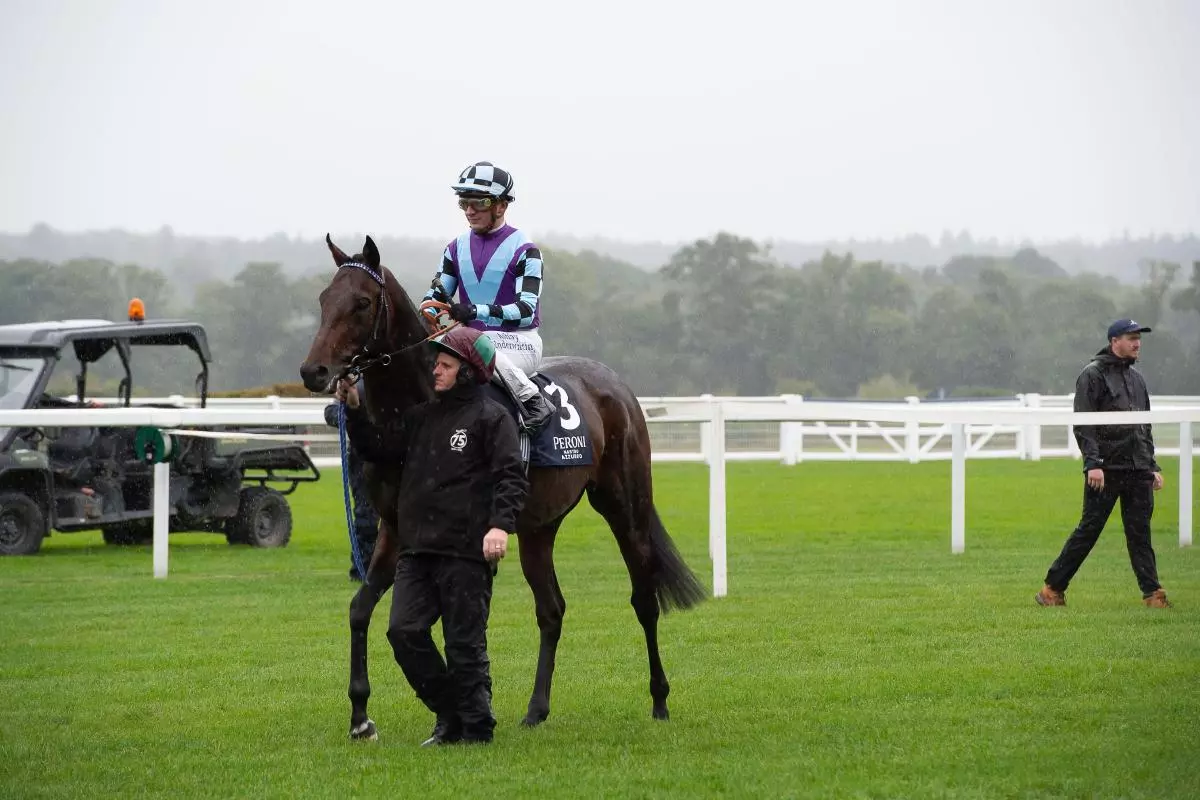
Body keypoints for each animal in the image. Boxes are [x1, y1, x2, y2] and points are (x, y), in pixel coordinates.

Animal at [299, 235, 706, 739]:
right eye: (323, 299)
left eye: (361, 303)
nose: (314, 371)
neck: (421, 407)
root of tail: (617, 386)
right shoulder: (397, 529)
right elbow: (361, 609)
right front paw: (361, 715)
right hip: (539, 527)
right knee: (552, 610)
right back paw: (536, 709)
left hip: (624, 505)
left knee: (644, 598)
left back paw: (659, 699)